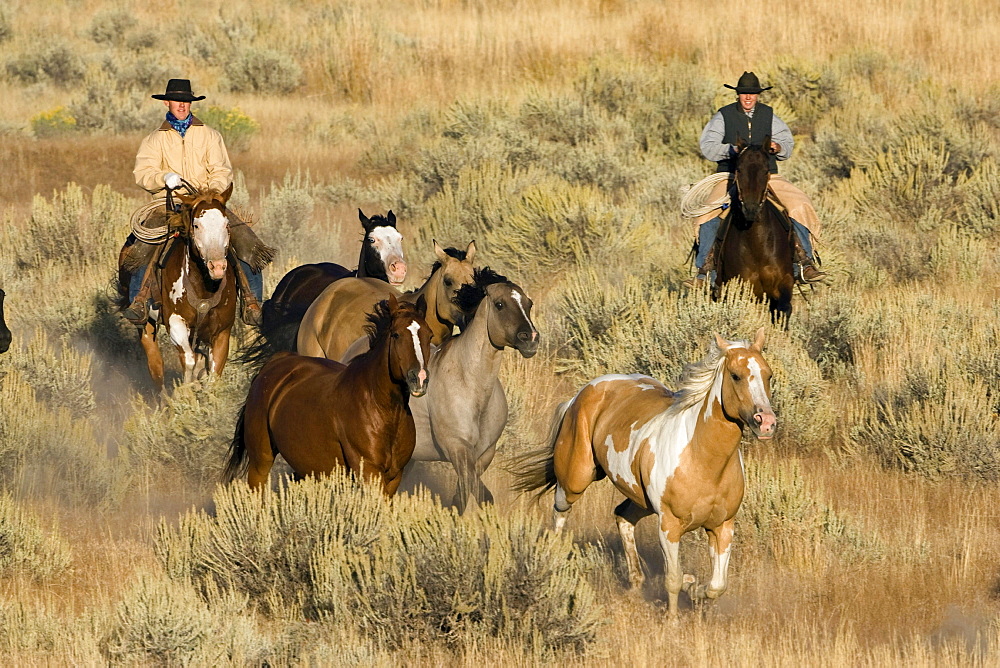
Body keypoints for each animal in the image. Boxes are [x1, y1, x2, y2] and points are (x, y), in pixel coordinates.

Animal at [223, 294, 430, 496]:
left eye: (429, 335)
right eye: (396, 334)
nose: (419, 378)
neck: (381, 410)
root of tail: (276, 361)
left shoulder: (394, 476)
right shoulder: (370, 472)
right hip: (261, 460)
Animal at [512, 328, 776, 616]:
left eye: (768, 374)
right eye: (736, 375)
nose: (766, 423)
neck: (703, 459)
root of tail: (584, 392)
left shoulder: (723, 526)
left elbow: (717, 585)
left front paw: (692, 586)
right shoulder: (669, 525)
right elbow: (672, 578)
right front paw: (673, 618)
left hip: (641, 500)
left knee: (622, 516)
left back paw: (636, 581)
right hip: (576, 478)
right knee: (560, 510)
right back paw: (553, 560)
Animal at [716, 137, 792, 322]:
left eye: (766, 170)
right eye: (739, 169)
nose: (750, 209)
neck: (757, 244)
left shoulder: (784, 283)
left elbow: (783, 311)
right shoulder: (743, 288)